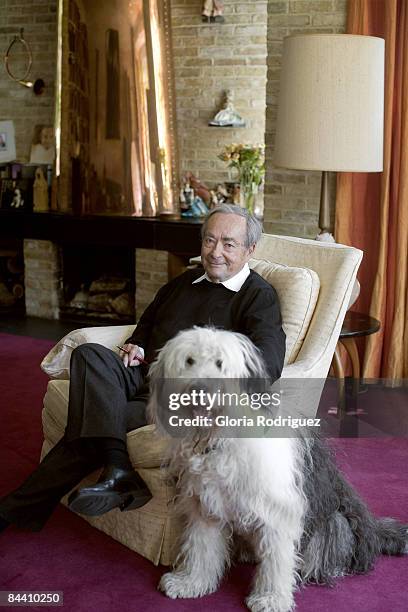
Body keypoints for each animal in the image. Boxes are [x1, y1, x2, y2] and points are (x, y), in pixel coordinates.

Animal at [147, 328, 408, 612]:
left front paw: (271, 598)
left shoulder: (278, 511)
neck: (219, 438)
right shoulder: (206, 506)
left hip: (334, 523)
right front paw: (190, 582)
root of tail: (371, 528)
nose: (199, 390)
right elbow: (201, 547)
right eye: (189, 360)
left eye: (220, 363)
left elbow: (277, 561)